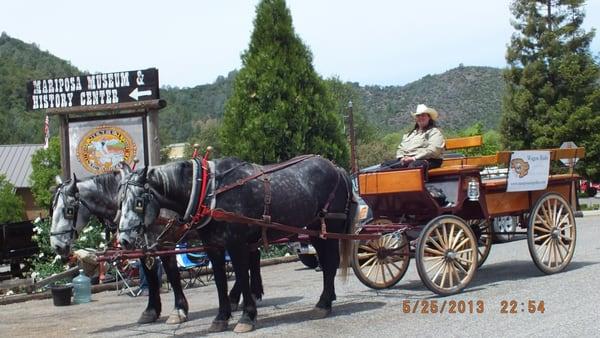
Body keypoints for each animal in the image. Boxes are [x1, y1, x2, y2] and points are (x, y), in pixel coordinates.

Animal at [48, 170, 260, 326]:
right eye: (51, 209)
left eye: (68, 210)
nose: (57, 246)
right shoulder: (144, 246)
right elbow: (150, 278)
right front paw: (151, 311)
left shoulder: (165, 243)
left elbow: (172, 275)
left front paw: (178, 310)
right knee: (253, 256)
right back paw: (248, 295)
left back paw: (239, 298)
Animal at [118, 156, 360, 332]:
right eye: (120, 201)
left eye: (138, 202)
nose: (123, 240)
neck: (209, 192)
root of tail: (337, 168)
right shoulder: (214, 247)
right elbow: (220, 281)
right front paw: (221, 317)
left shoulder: (237, 245)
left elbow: (243, 277)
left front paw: (246, 317)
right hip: (314, 229)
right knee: (327, 262)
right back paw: (327, 300)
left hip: (330, 225)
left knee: (331, 262)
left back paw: (324, 303)